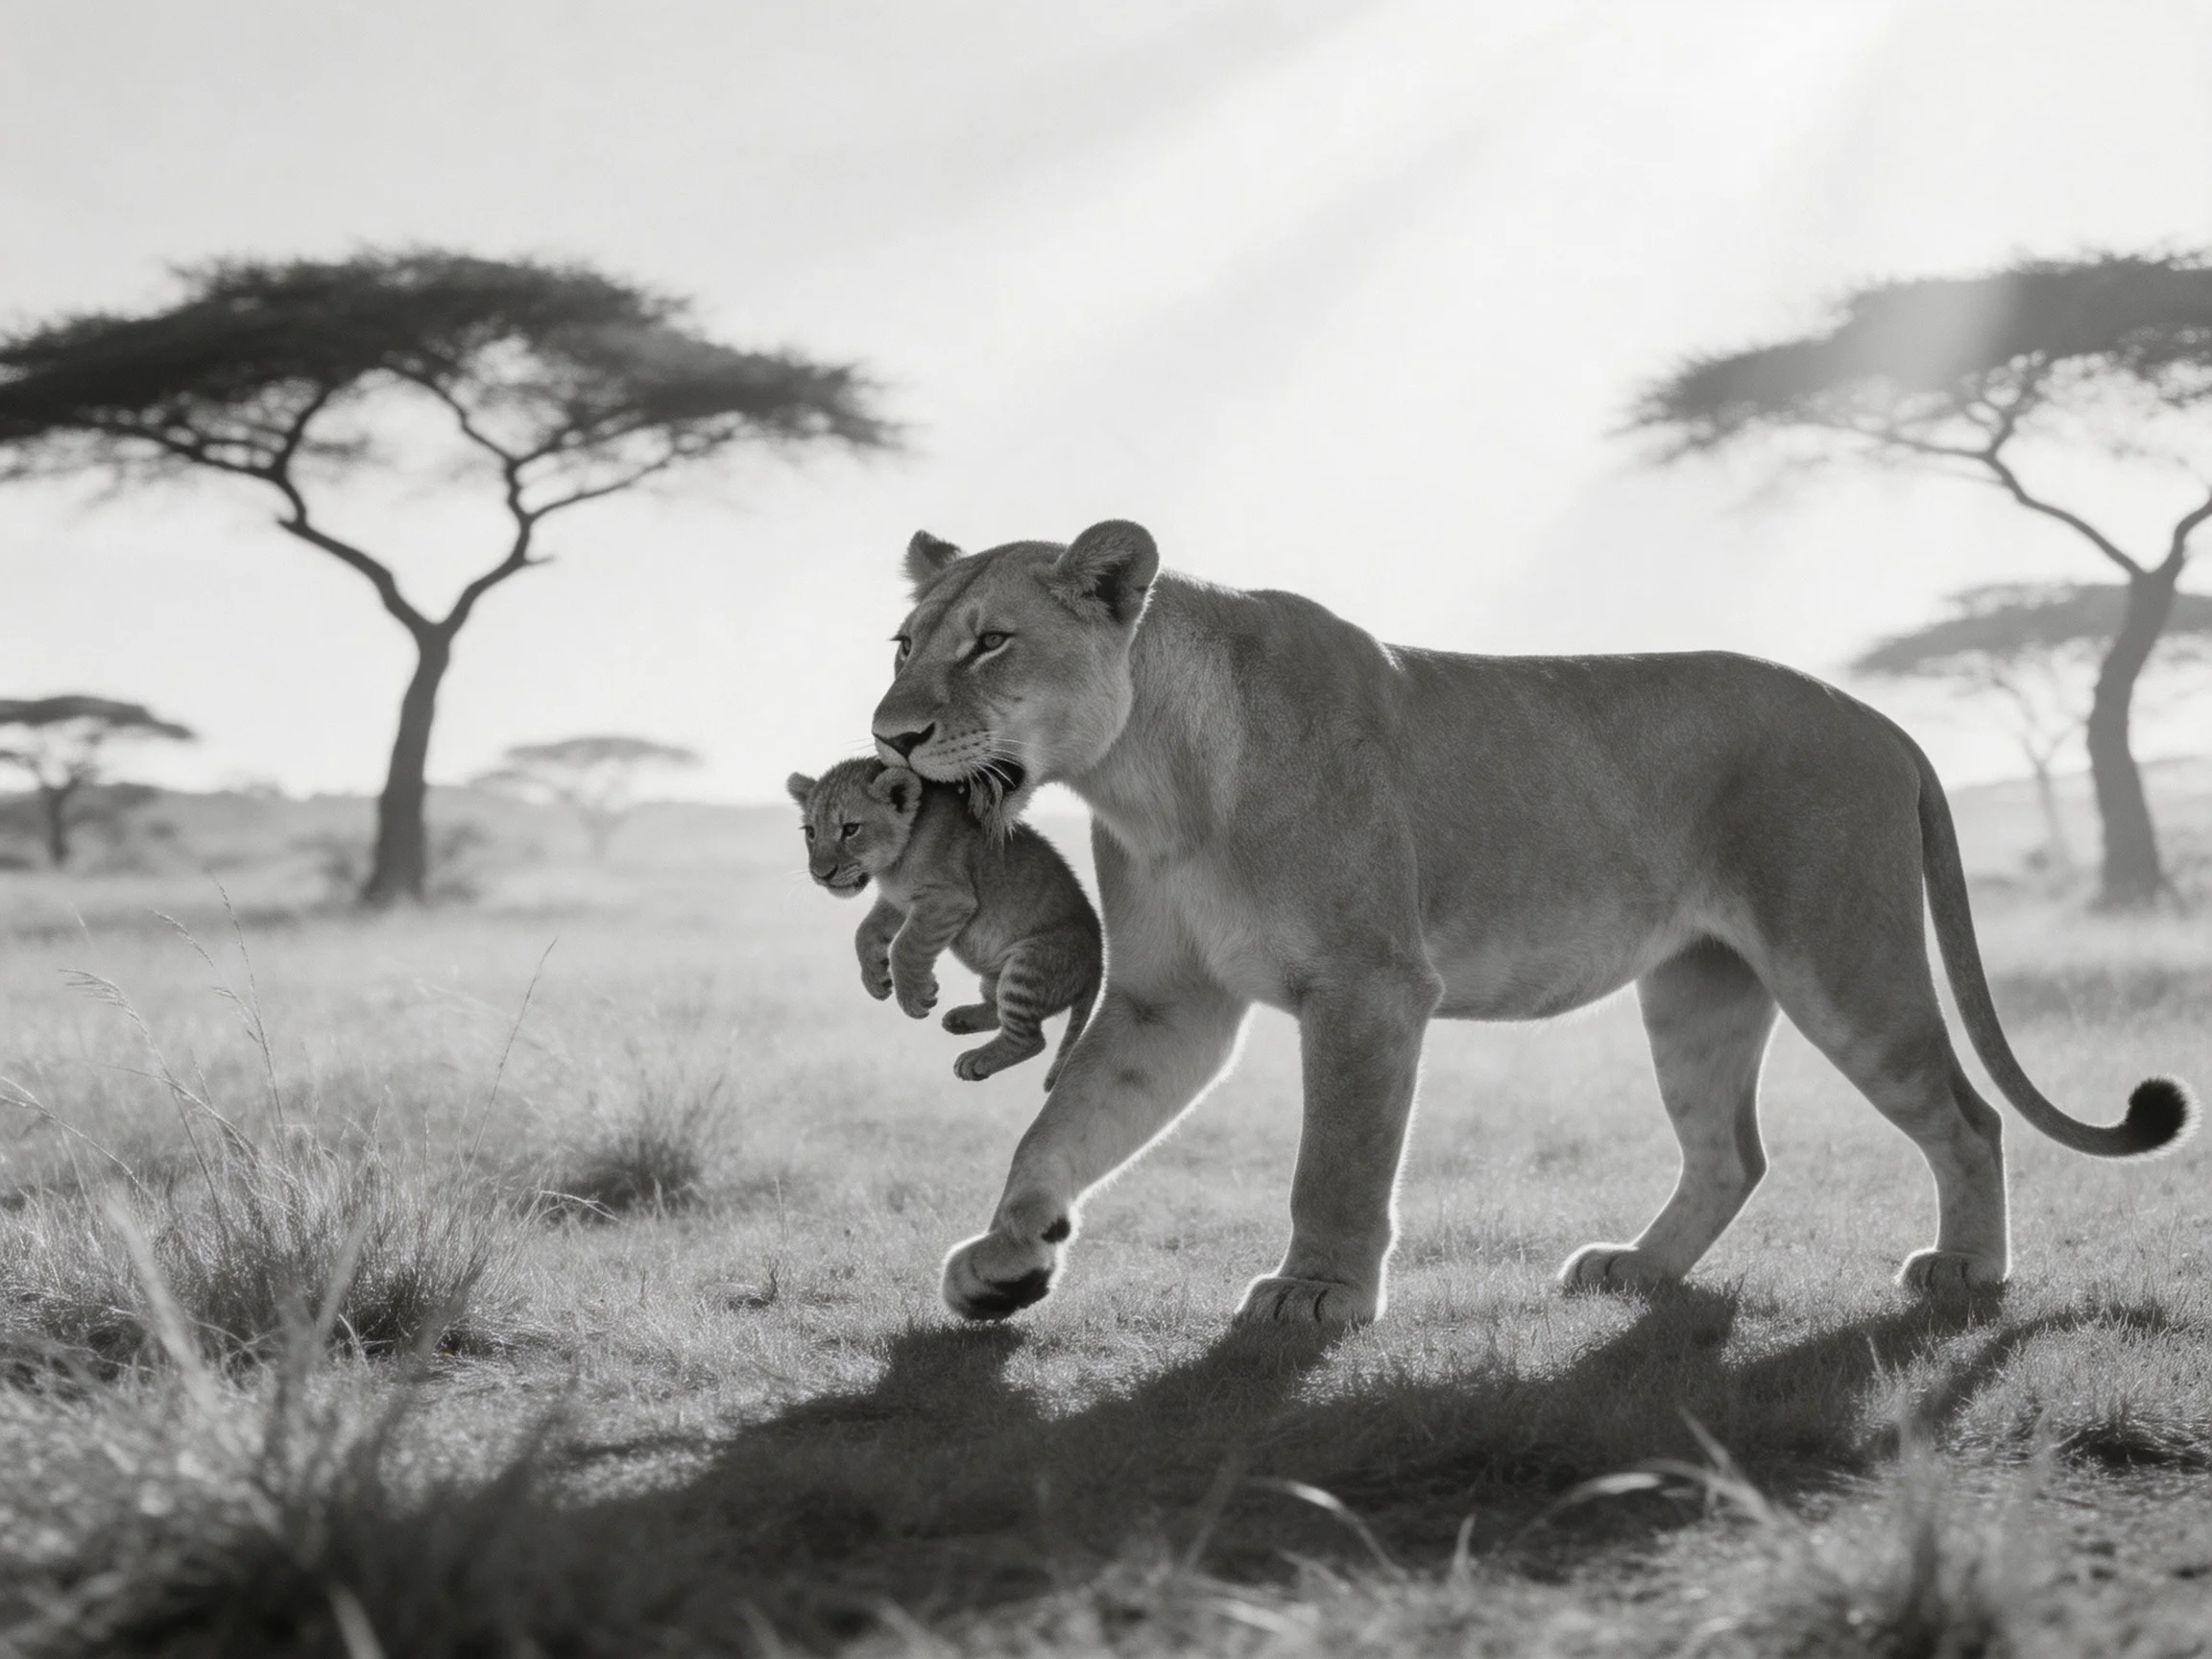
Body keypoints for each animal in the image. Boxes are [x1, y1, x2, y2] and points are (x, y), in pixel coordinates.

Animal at [787, 758, 1101, 1086]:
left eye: (850, 829)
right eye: (810, 831)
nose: (821, 874)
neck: (892, 865)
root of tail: (1098, 966)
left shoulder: (949, 899)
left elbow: (905, 945)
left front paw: (915, 998)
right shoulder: (898, 900)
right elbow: (865, 932)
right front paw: (875, 979)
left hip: (1031, 965)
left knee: (1030, 1039)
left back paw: (976, 1060)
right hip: (1000, 975)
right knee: (998, 1010)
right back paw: (960, 1019)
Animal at [869, 520, 2196, 1326]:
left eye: (992, 643)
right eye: (902, 643)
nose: (890, 735)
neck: (1153, 778)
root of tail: (1881, 717)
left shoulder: (1369, 986)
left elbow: (1336, 1159)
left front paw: (1317, 1293)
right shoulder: (1168, 1002)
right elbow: (1063, 1128)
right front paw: (1008, 1254)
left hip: (1843, 955)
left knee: (1968, 1116)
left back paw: (1966, 1270)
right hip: (1699, 986)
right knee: (1731, 1151)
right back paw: (1636, 1269)